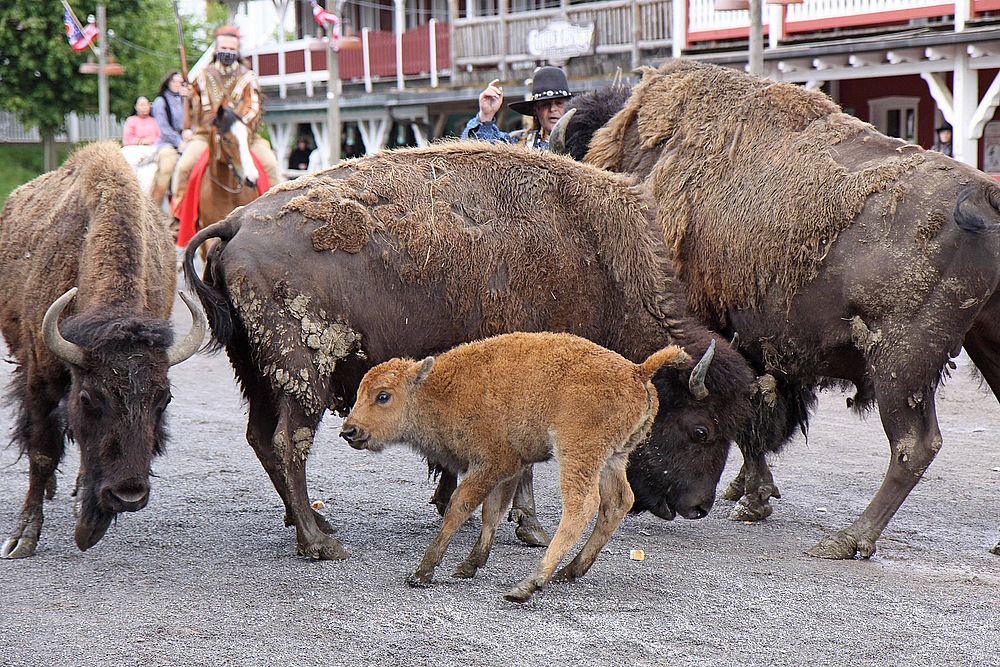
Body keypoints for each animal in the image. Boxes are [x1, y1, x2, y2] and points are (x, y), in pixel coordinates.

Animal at [0, 141, 205, 560]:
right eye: (89, 397)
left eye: (165, 398)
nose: (129, 495)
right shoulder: (40, 377)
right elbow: (41, 451)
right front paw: (22, 538)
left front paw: (90, 522)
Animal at [184, 142, 752, 564]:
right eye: (701, 430)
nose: (698, 507)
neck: (592, 257)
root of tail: (236, 222)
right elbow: (524, 464)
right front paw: (532, 529)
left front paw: (454, 506)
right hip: (301, 374)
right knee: (288, 443)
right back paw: (320, 541)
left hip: (257, 374)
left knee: (261, 438)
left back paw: (314, 523)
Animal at [340, 332, 692, 604]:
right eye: (359, 392)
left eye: (383, 396)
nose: (349, 431)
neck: (438, 388)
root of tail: (636, 370)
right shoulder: (510, 468)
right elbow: (492, 513)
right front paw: (469, 565)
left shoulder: (492, 463)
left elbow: (460, 507)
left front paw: (422, 572)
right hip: (613, 459)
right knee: (617, 503)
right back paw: (569, 572)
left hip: (578, 453)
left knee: (582, 506)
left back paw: (528, 585)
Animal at [552, 57, 1000, 560]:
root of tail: (984, 193)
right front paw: (747, 492)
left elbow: (749, 417)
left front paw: (752, 499)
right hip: (984, 343)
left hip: (901, 364)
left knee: (913, 445)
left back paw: (847, 540)